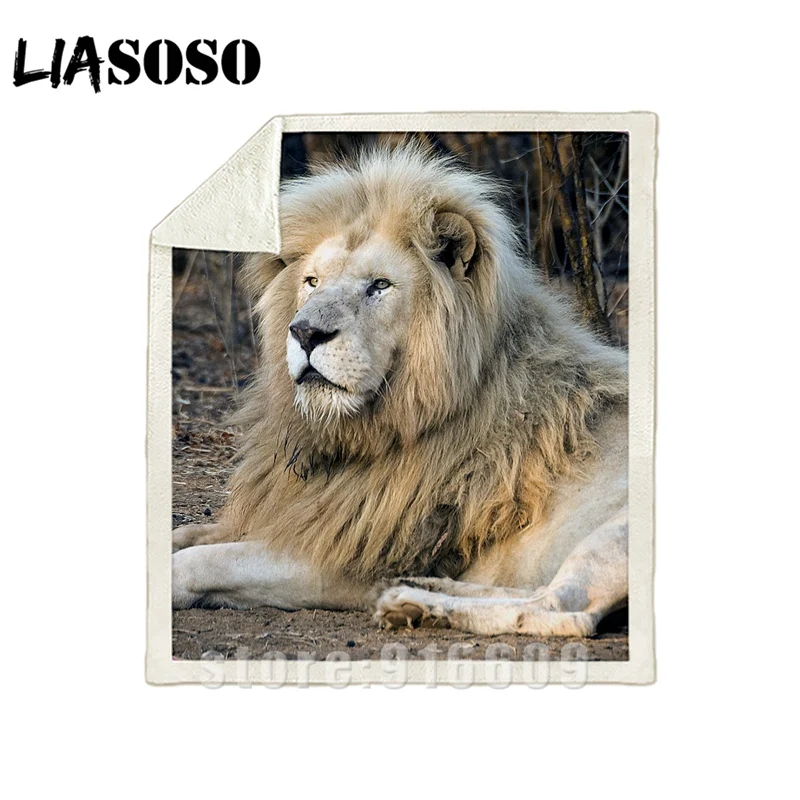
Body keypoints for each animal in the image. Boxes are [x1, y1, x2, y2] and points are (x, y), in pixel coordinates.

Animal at [172, 143, 629, 638]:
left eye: (379, 285)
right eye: (312, 282)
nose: (305, 332)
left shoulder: (351, 555)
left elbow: (199, 561)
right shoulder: (308, 516)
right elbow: (186, 536)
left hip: (613, 534)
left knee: (563, 608)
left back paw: (412, 603)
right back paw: (420, 586)